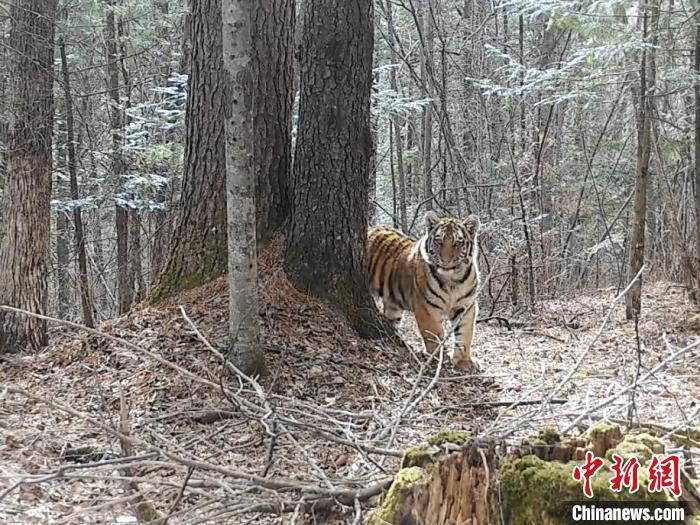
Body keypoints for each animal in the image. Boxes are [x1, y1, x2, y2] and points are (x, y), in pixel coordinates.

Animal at [366, 212, 482, 368]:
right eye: (439, 241)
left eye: (458, 243)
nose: (446, 261)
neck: (452, 280)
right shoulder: (426, 307)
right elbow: (434, 333)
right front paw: (437, 359)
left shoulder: (466, 306)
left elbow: (465, 334)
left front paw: (464, 362)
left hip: (393, 306)